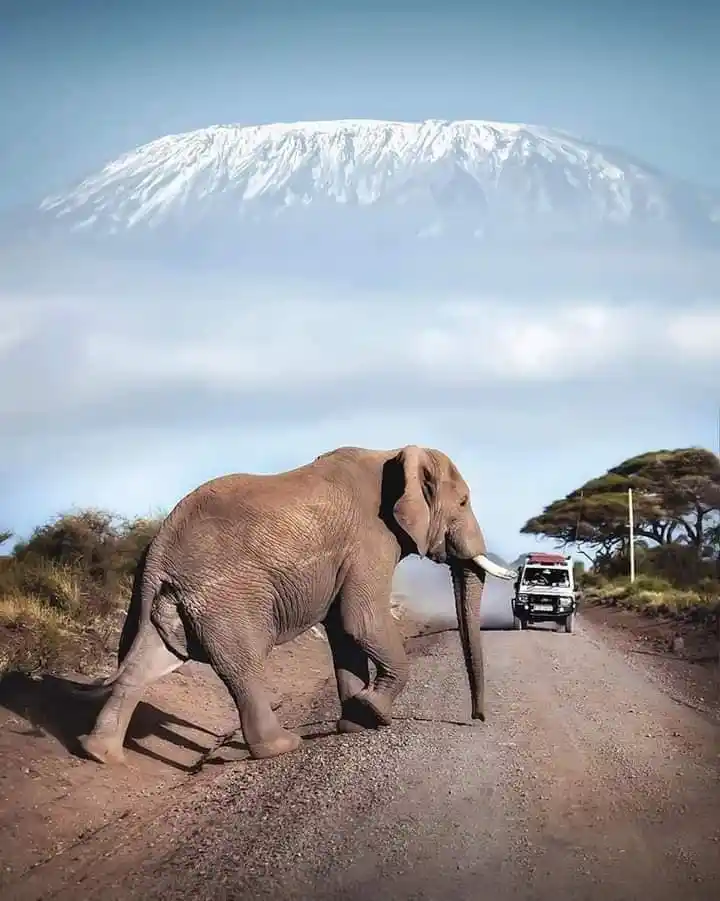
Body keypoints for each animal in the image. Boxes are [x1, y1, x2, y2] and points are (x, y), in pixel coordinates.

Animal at [79, 445, 517, 766]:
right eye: (463, 502)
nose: (476, 719)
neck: (393, 454)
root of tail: (157, 552)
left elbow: (343, 632)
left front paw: (355, 723)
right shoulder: (369, 539)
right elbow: (360, 621)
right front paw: (373, 712)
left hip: (166, 599)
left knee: (147, 661)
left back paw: (100, 754)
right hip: (226, 600)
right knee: (244, 665)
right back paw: (281, 746)